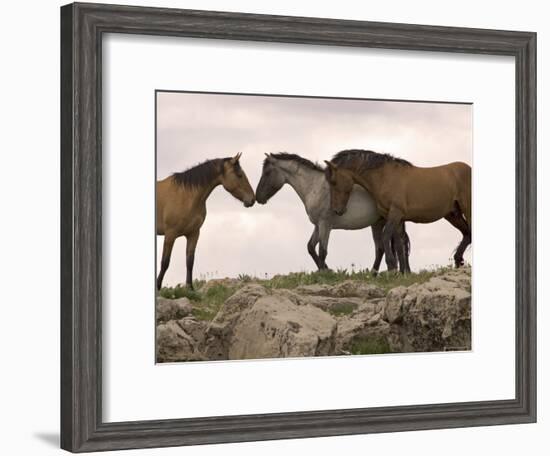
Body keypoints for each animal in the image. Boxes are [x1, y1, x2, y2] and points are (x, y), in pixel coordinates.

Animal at [157, 153, 256, 288]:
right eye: (239, 175)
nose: (252, 199)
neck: (185, 196)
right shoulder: (170, 234)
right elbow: (165, 262)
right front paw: (158, 287)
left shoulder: (194, 233)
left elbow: (190, 261)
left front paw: (190, 288)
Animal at [256, 153, 410, 274]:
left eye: (267, 173)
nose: (258, 197)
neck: (315, 187)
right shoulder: (318, 225)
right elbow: (311, 247)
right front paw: (325, 269)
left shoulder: (325, 224)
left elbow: (322, 251)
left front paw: (324, 273)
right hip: (378, 223)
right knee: (387, 247)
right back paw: (381, 272)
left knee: (396, 245)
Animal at [326, 150, 472, 272]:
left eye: (333, 181)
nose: (337, 210)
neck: (385, 177)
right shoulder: (397, 218)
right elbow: (398, 244)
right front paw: (403, 272)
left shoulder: (395, 214)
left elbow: (386, 236)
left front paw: (392, 267)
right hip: (453, 215)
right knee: (467, 233)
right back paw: (458, 261)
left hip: (467, 209)